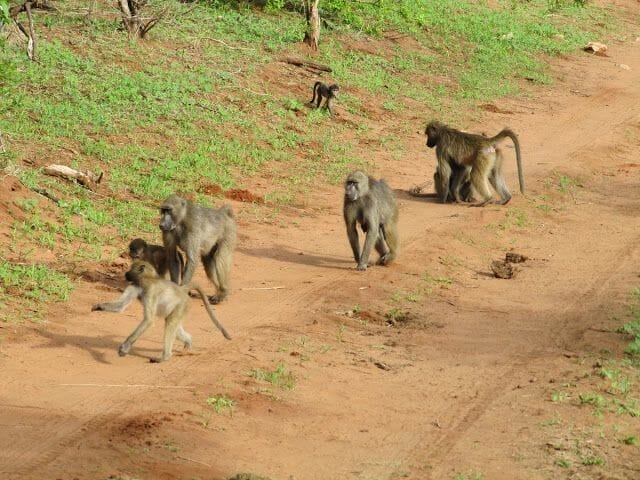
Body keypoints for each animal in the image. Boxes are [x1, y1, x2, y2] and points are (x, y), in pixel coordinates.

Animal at [92, 260, 231, 363]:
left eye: (131, 269)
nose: (126, 274)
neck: (147, 279)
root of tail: (182, 290)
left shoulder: (150, 291)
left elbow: (148, 320)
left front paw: (125, 347)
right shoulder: (135, 285)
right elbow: (120, 305)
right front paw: (98, 307)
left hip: (182, 305)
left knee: (170, 324)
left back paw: (165, 357)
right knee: (175, 327)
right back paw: (188, 342)